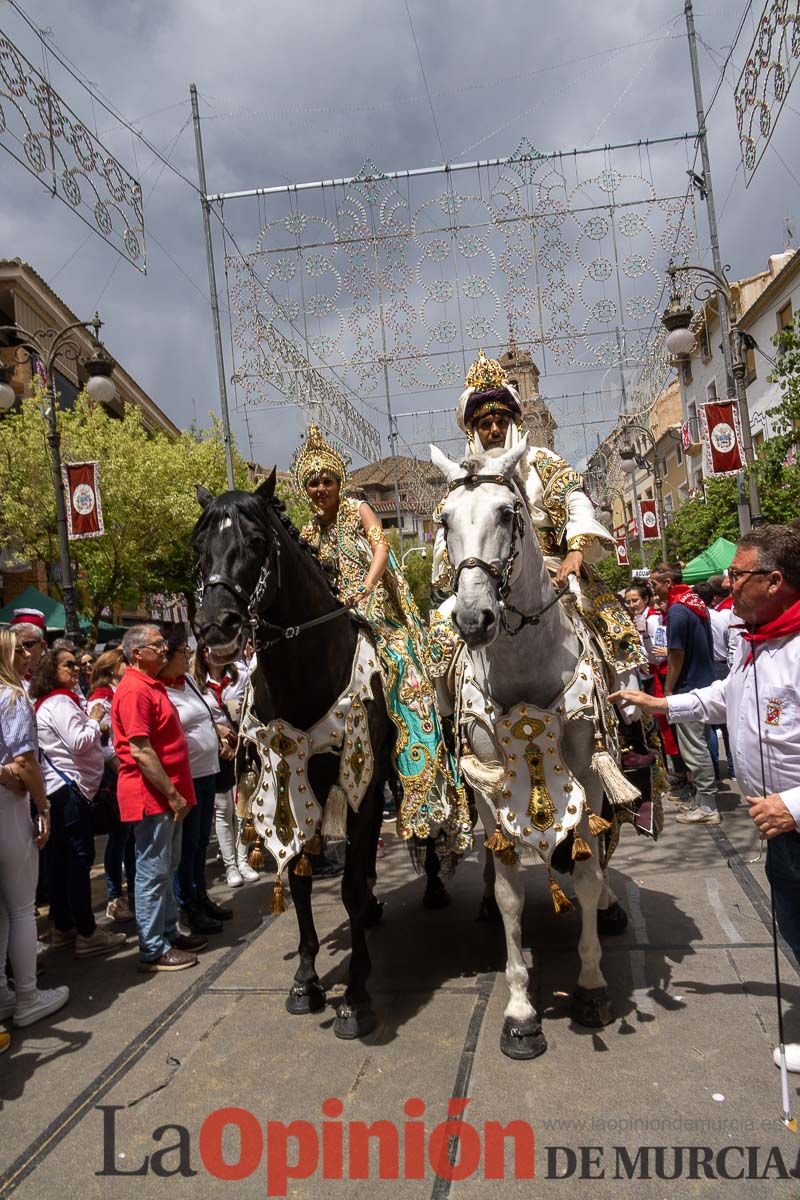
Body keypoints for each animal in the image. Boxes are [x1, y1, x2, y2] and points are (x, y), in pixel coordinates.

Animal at [194, 470, 393, 1041]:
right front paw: (307, 979)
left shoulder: (362, 781)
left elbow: (347, 887)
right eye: (199, 546)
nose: (215, 626)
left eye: (257, 542)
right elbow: (301, 878)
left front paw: (357, 997)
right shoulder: (288, 779)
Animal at [434, 441, 618, 1060]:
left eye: (507, 512)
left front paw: (591, 986)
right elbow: (510, 892)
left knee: (602, 859)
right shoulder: (490, 782)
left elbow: (585, 875)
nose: (473, 618)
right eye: (443, 521)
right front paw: (520, 1013)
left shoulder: (587, 776)